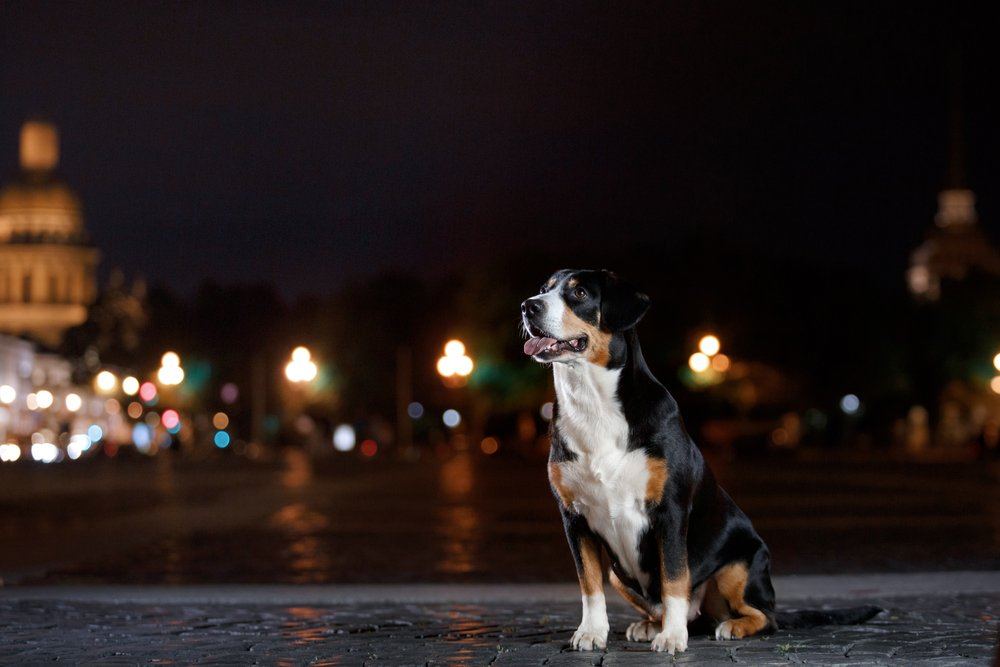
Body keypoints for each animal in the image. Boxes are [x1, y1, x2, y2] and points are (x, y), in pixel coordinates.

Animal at [520, 268, 880, 656]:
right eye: (544, 290)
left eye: (580, 293)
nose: (528, 306)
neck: (592, 405)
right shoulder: (574, 517)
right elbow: (589, 584)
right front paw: (591, 632)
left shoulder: (671, 511)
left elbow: (675, 578)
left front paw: (673, 637)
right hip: (619, 573)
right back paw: (651, 625)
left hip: (740, 565)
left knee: (764, 616)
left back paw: (727, 626)